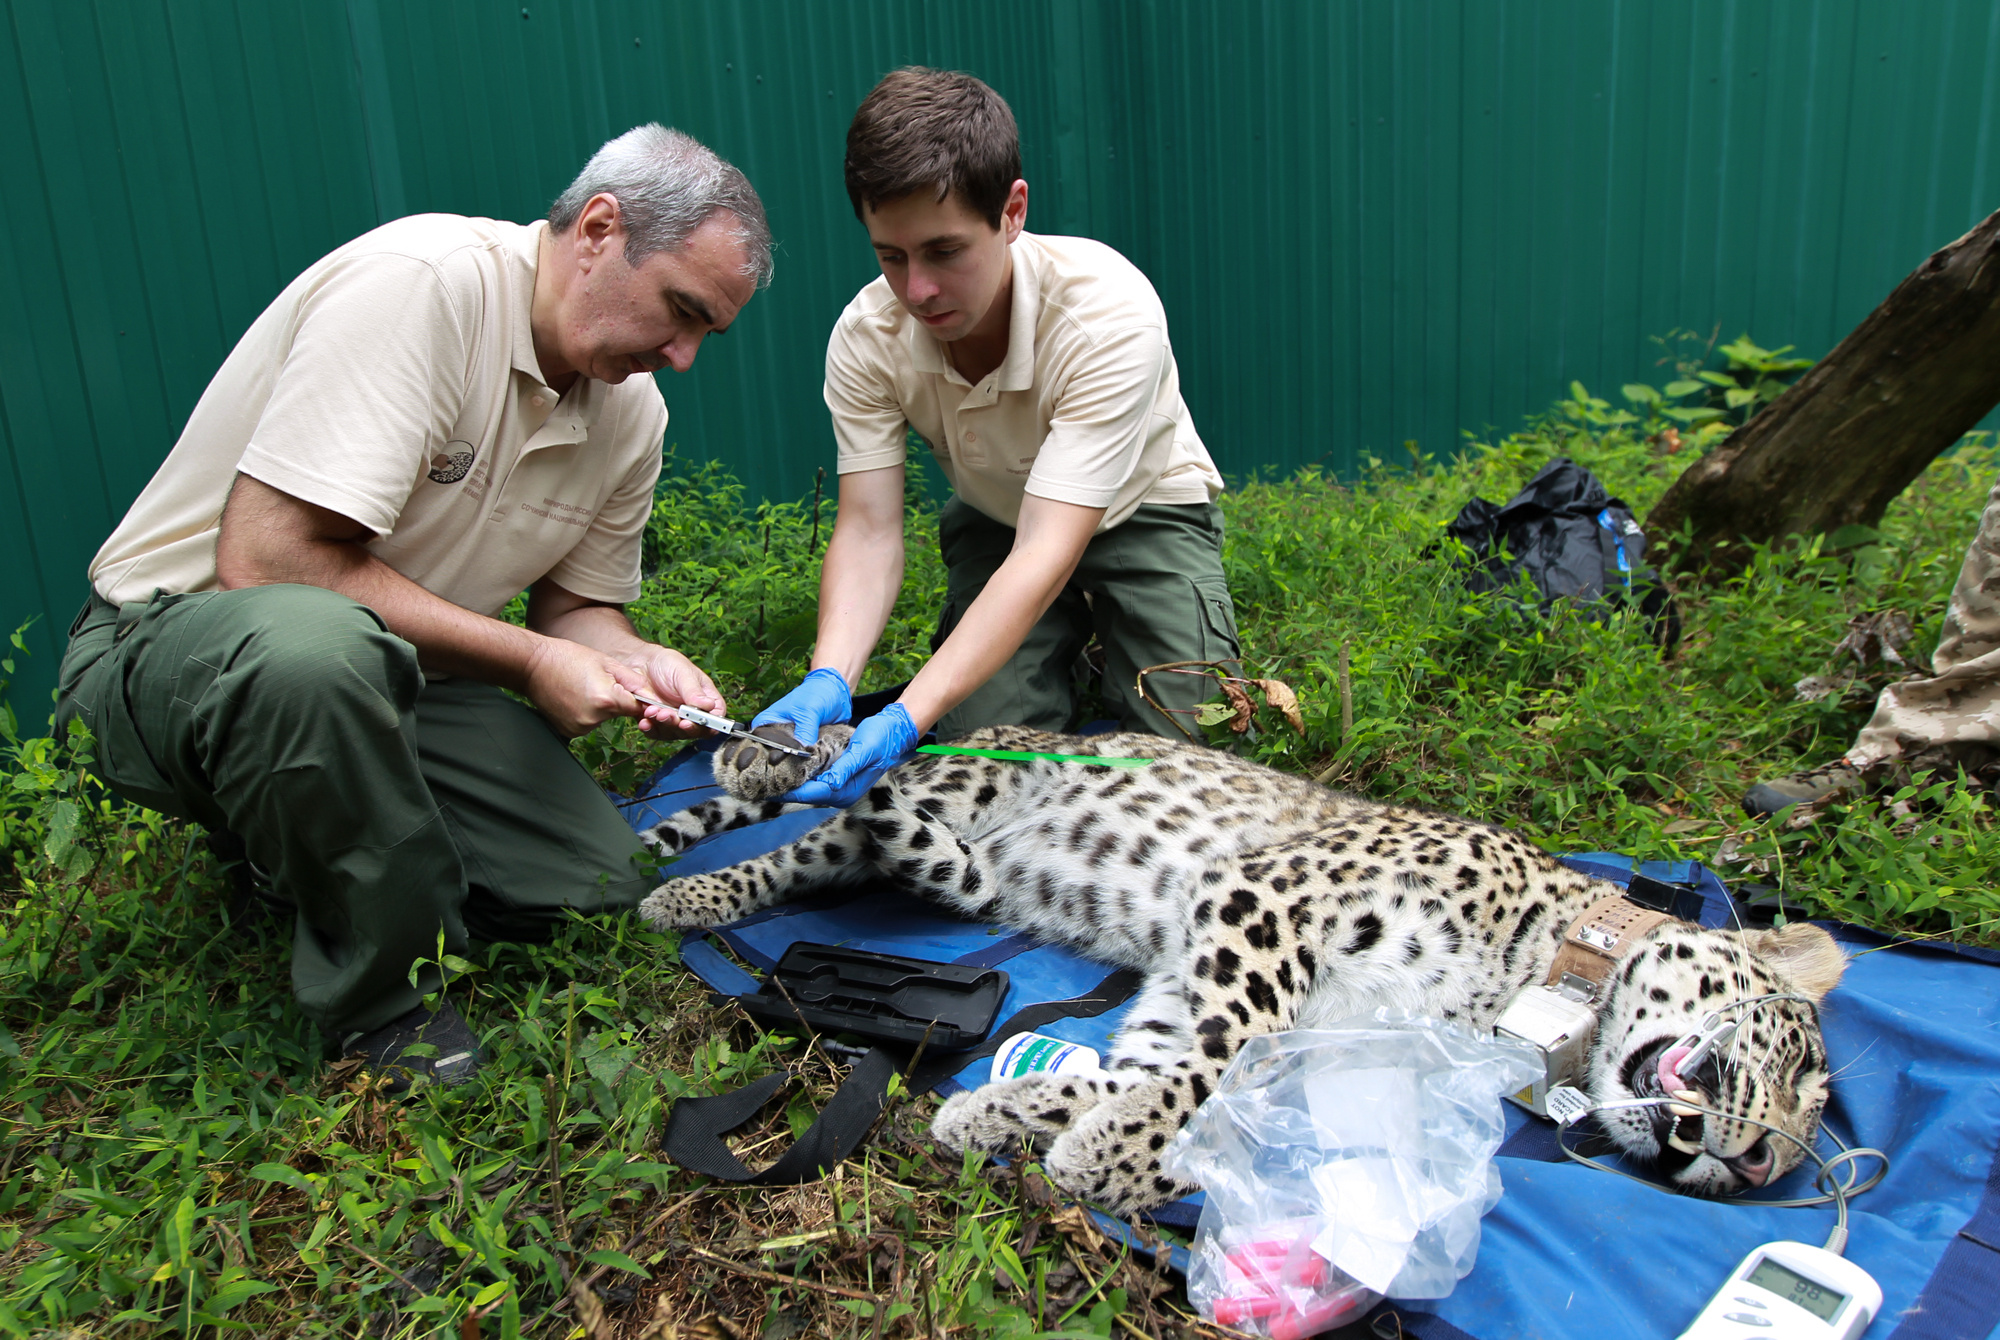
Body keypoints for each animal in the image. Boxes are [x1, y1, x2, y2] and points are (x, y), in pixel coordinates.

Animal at [640, 728, 1840, 1224]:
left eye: (1772, 1168)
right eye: (1796, 1072)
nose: (1746, 1164)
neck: (1540, 975)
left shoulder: (1245, 999)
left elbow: (1157, 1069)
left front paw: (1013, 1115)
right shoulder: (1267, 900)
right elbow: (1216, 1058)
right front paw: (1101, 1148)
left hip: (956, 869)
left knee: (845, 837)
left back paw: (700, 885)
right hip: (966, 775)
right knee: (842, 781)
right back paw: (765, 759)